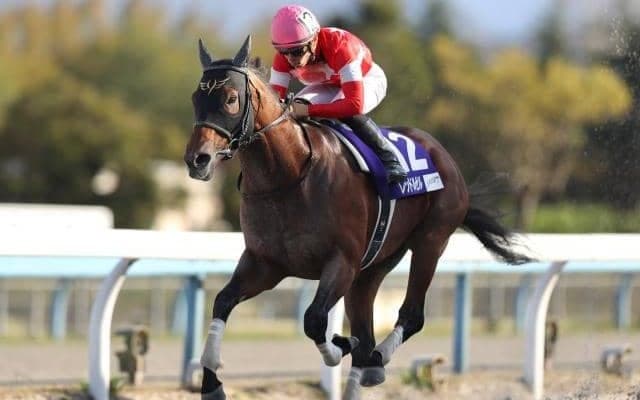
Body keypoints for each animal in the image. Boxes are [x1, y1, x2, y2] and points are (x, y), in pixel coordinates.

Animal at [184, 36, 531, 400]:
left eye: (231, 98)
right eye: (196, 97)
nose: (197, 160)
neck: (289, 175)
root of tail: (444, 156)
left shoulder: (341, 262)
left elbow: (315, 320)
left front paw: (340, 346)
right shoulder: (265, 264)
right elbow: (222, 302)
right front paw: (211, 383)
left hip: (431, 241)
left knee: (410, 316)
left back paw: (377, 357)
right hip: (374, 266)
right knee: (366, 324)